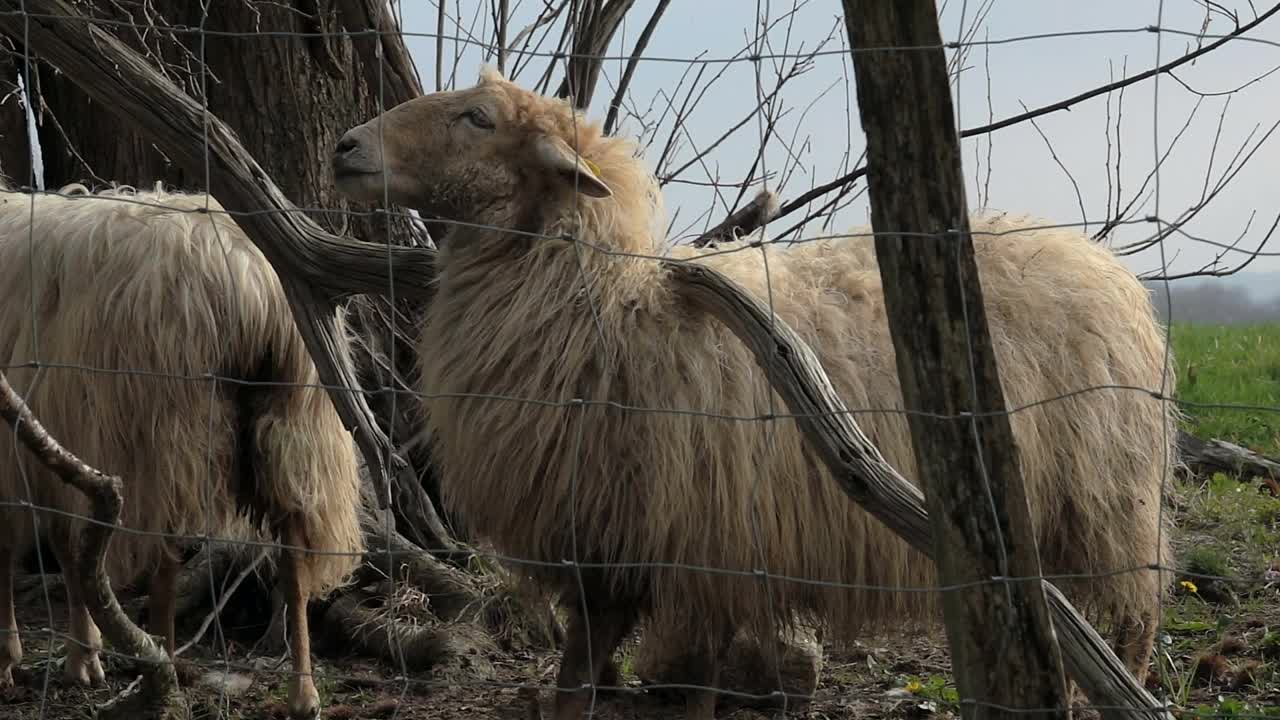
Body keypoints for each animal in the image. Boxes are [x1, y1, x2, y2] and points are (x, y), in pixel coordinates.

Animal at [0, 179, 366, 717]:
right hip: (295, 424)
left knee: (167, 557)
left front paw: (13, 655)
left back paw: (162, 667)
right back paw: (303, 692)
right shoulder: (55, 445)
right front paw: (83, 657)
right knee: (293, 559)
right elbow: (67, 545)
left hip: (167, 427)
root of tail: (248, 278)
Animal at [332, 64, 1177, 712]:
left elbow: (698, 692)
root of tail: (1102, 263)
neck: (606, 307)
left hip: (1108, 502)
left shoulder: (703, 551)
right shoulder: (608, 551)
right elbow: (577, 681)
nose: (345, 146)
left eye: (477, 118)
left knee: (1129, 626)